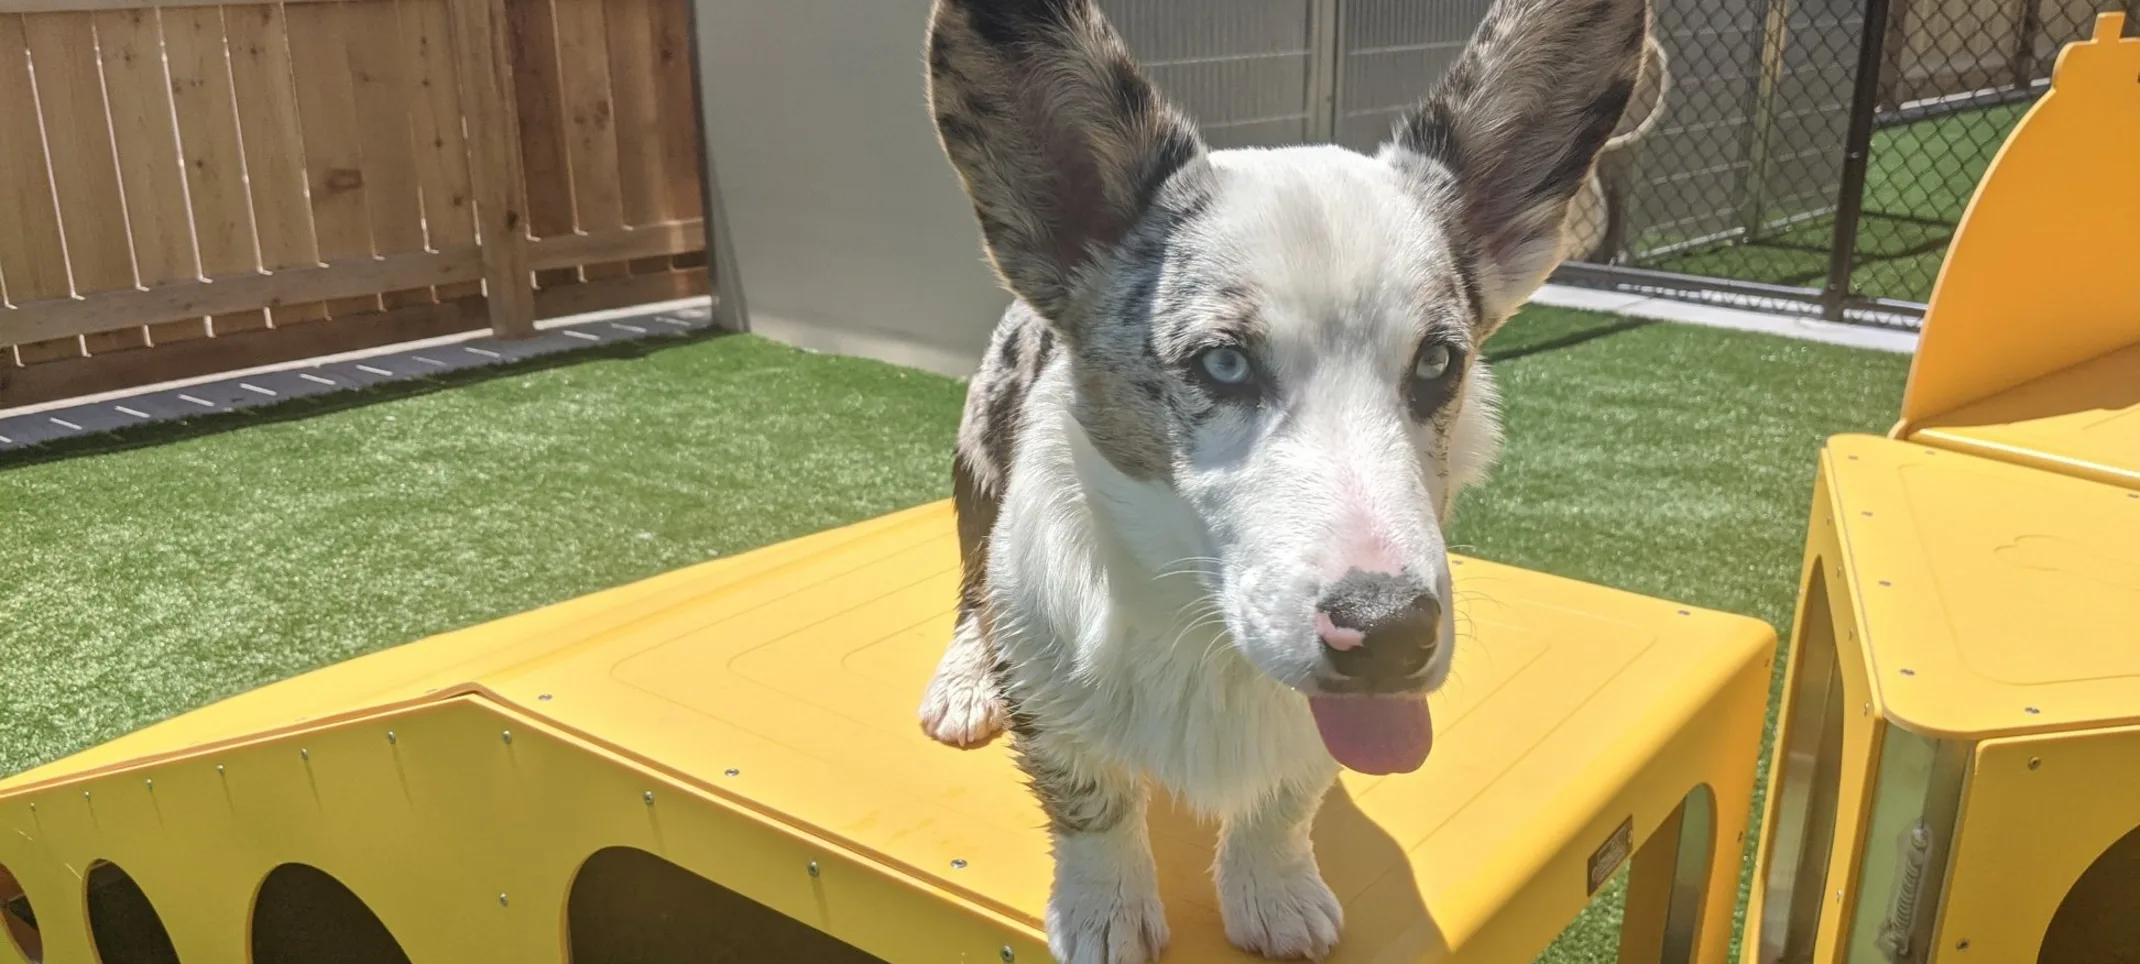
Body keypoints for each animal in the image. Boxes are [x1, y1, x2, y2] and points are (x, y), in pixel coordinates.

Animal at [911, 1, 1643, 955]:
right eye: (1222, 365)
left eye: (1439, 362)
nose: (1389, 633)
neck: (1206, 638)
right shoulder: (1050, 684)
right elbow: (1091, 803)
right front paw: (1105, 917)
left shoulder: (1308, 748)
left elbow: (1284, 802)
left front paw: (1276, 897)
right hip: (979, 466)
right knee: (970, 589)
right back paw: (965, 682)